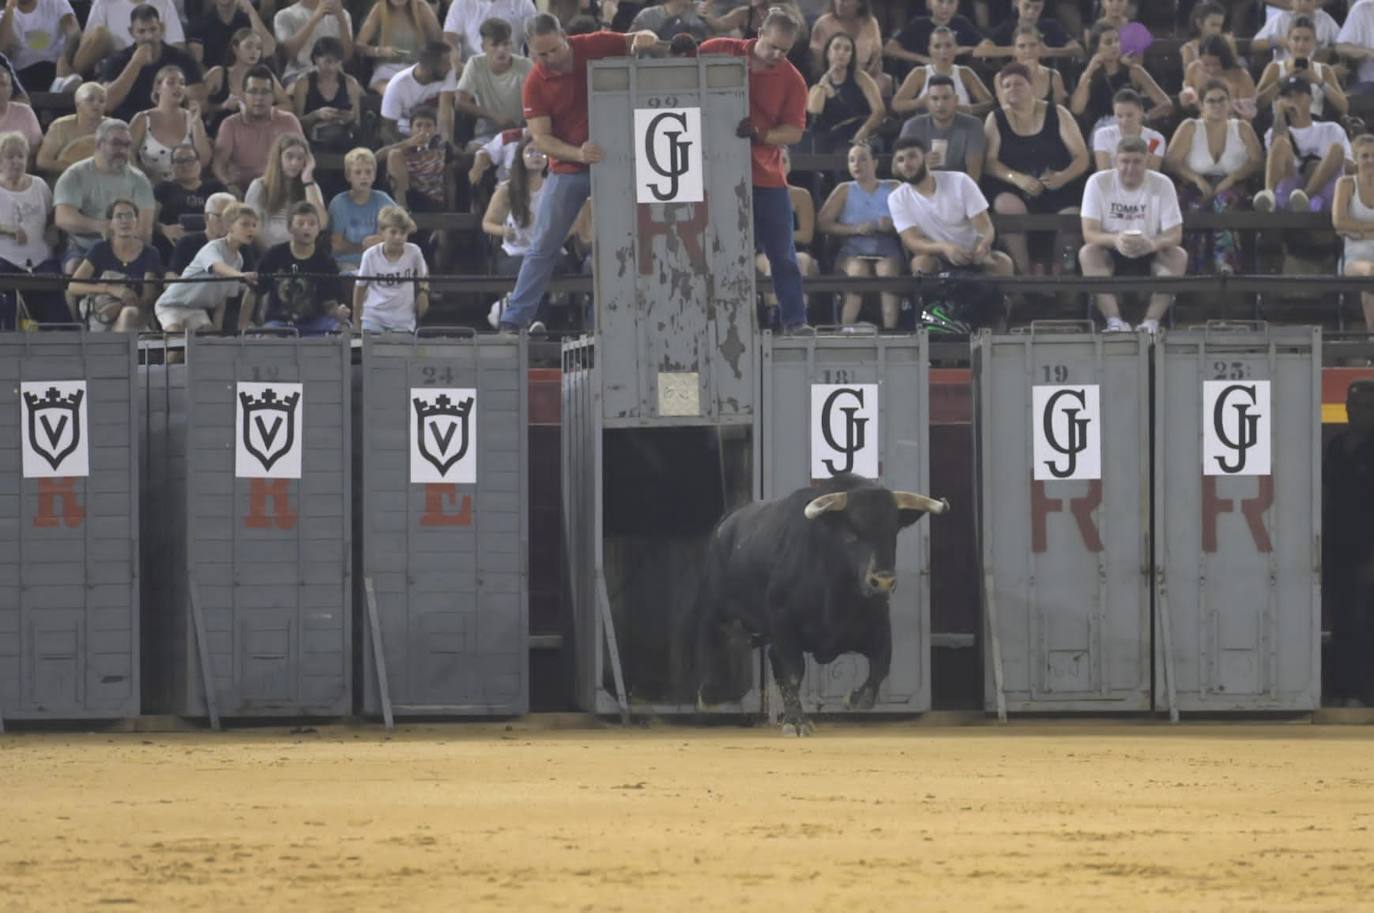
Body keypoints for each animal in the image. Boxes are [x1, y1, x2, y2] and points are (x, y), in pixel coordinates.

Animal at [676, 473, 945, 731]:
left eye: (893, 533)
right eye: (851, 534)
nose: (883, 581)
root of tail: (726, 524)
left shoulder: (878, 622)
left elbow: (881, 664)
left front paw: (855, 699)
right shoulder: (783, 624)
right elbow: (793, 672)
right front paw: (796, 722)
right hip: (715, 606)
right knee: (710, 638)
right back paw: (709, 695)